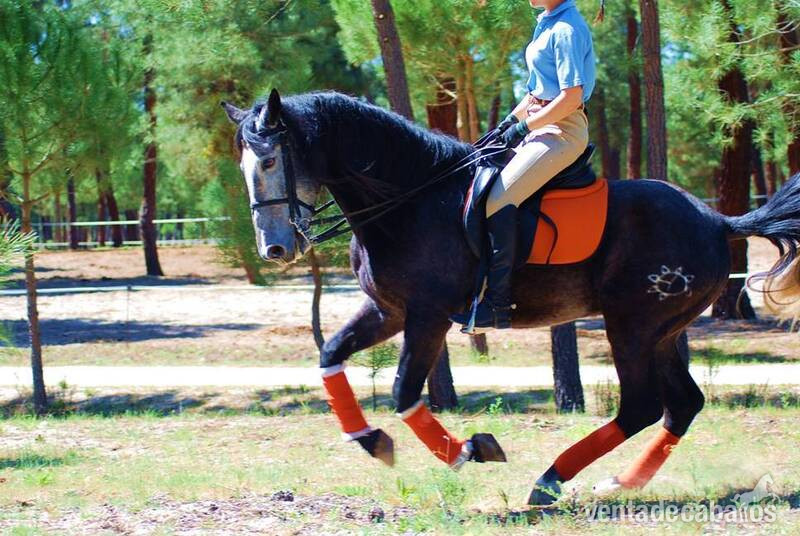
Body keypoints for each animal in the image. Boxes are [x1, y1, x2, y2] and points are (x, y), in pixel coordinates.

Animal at [222, 89, 800, 505]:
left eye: (270, 162)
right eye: (244, 167)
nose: (275, 248)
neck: (408, 200)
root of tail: (718, 219)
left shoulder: (428, 315)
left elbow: (406, 391)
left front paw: (467, 451)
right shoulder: (389, 311)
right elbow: (331, 354)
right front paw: (370, 439)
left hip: (632, 327)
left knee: (641, 406)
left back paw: (549, 482)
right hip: (661, 332)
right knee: (682, 404)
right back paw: (618, 483)